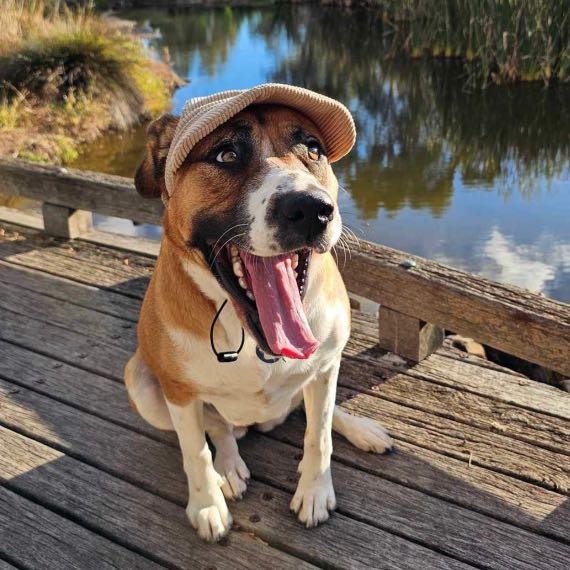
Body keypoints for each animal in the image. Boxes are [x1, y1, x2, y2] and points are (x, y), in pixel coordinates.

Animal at [123, 85, 390, 540]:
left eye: (314, 149)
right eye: (226, 154)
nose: (312, 209)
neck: (252, 335)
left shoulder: (326, 365)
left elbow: (318, 434)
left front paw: (315, 491)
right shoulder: (177, 392)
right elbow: (195, 452)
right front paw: (207, 504)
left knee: (315, 411)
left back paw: (362, 429)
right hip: (141, 382)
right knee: (218, 428)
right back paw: (228, 468)